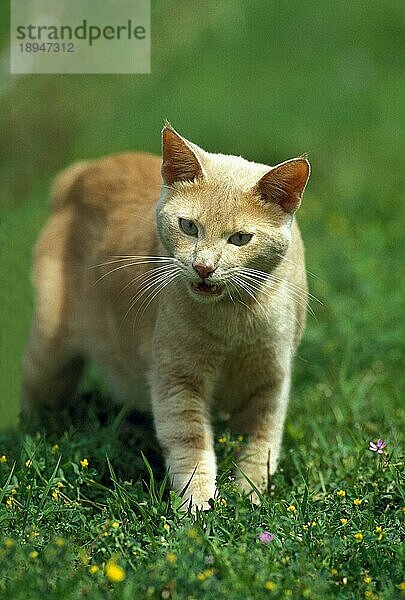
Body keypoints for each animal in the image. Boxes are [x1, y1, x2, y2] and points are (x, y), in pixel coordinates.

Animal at [22, 124, 310, 508]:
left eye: (240, 238)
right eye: (188, 227)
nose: (204, 267)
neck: (233, 323)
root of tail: (82, 171)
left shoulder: (270, 382)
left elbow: (260, 446)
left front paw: (249, 497)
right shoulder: (177, 380)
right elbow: (191, 446)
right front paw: (200, 505)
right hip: (49, 355)